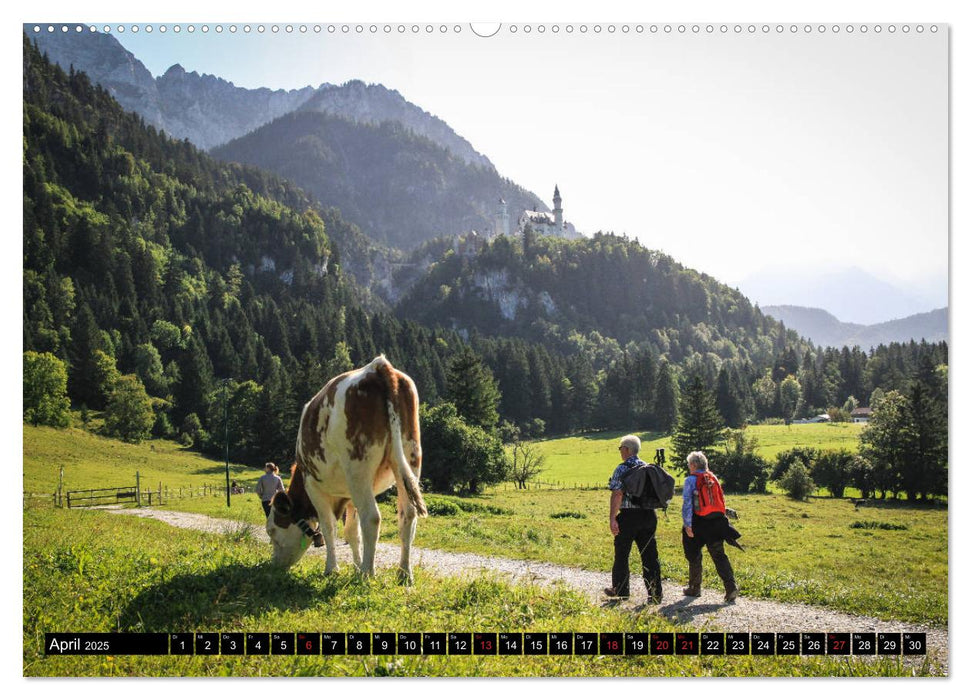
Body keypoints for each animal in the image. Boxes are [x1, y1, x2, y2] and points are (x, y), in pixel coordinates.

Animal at [270, 358, 430, 584]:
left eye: (272, 531)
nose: (274, 564)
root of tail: (378, 366)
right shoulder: (351, 494)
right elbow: (352, 532)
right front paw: (355, 566)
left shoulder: (314, 485)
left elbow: (329, 527)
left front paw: (332, 569)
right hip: (410, 458)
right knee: (407, 515)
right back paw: (404, 574)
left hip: (358, 467)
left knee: (372, 517)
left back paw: (368, 573)